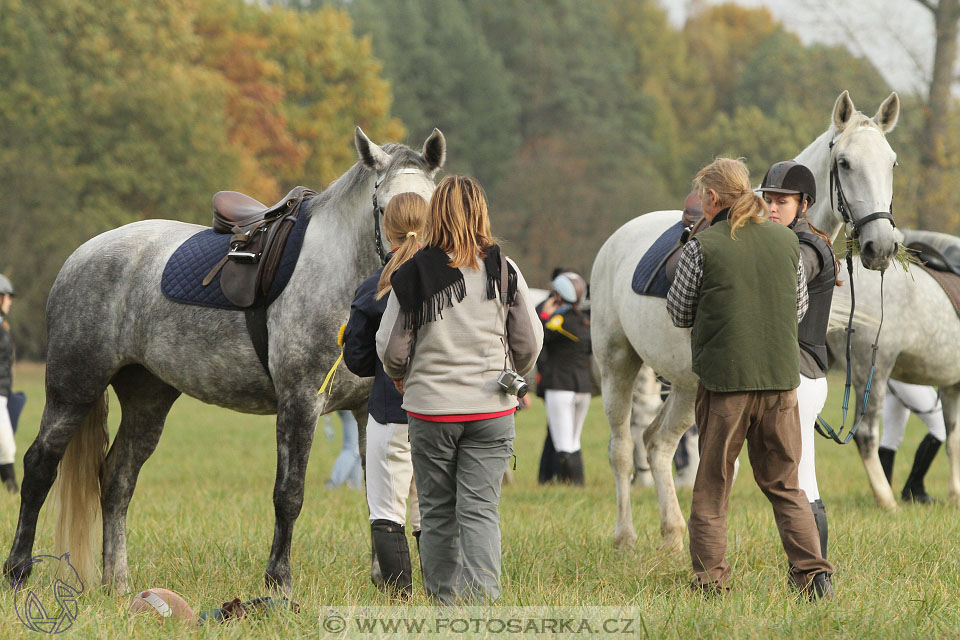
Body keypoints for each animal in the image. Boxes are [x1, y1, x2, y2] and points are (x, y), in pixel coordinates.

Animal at [4, 127, 446, 592]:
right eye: (382, 208)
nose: (415, 273)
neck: (338, 278)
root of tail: (81, 255)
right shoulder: (300, 402)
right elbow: (289, 494)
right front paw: (279, 581)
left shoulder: (370, 409)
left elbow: (383, 491)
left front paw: (389, 584)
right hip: (73, 388)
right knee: (39, 466)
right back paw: (18, 570)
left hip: (147, 397)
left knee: (117, 480)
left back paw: (118, 583)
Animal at [592, 91, 900, 552]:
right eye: (844, 162)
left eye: (892, 162)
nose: (880, 246)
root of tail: (616, 239)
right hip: (618, 363)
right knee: (622, 447)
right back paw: (626, 537)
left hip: (685, 385)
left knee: (658, 444)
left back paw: (672, 534)